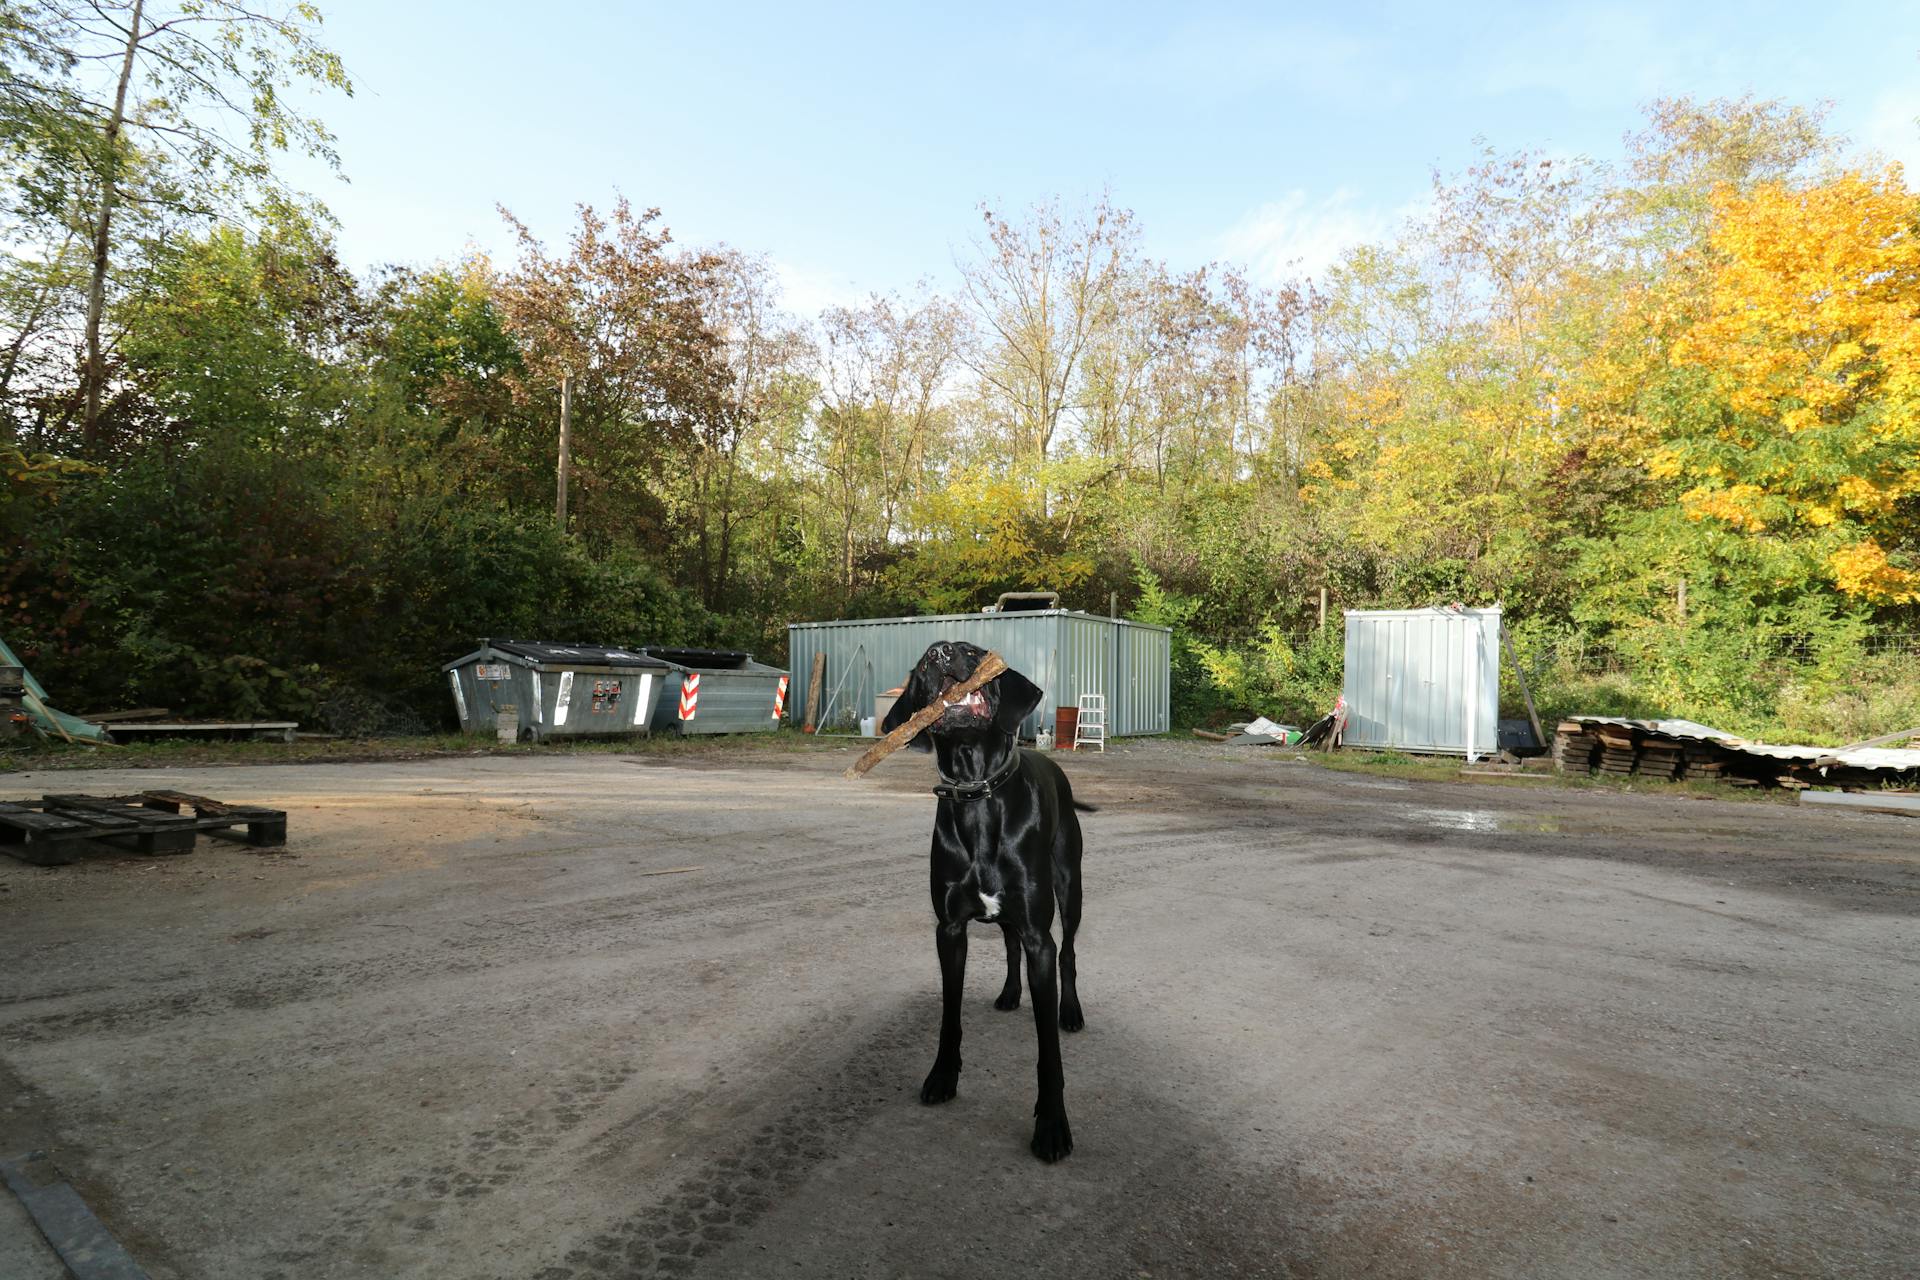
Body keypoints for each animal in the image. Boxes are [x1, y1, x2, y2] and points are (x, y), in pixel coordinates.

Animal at [879, 640, 1090, 1159]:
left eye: (972, 652)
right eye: (921, 665)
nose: (939, 653)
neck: (977, 795)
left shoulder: (1039, 936)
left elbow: (1048, 1050)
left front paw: (1052, 1124)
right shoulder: (950, 931)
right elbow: (949, 1017)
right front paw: (942, 1076)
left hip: (1069, 887)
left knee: (1070, 952)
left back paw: (1071, 1012)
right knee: (1010, 945)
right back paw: (1011, 993)